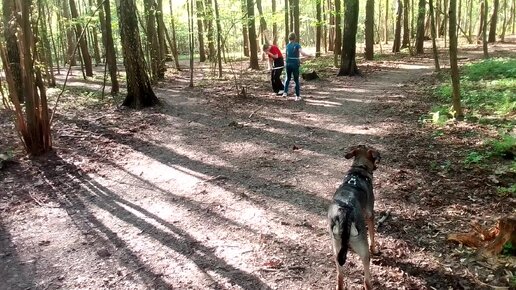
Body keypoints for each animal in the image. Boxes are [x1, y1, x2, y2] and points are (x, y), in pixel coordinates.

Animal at [328, 145, 380, 290]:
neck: (359, 170)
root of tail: (344, 212)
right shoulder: (370, 214)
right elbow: (372, 236)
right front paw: (375, 249)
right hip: (364, 252)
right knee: (367, 281)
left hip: (336, 249)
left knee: (340, 277)